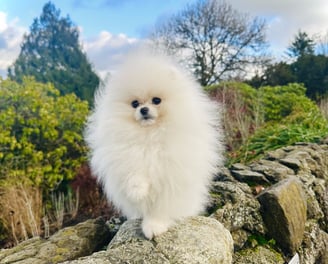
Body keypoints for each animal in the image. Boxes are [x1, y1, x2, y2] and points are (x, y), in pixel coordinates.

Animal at [84, 49, 226, 239]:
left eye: (156, 100)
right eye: (135, 103)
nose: (143, 109)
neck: (149, 135)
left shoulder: (170, 174)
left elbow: (160, 207)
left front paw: (154, 226)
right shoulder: (126, 156)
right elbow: (133, 174)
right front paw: (137, 191)